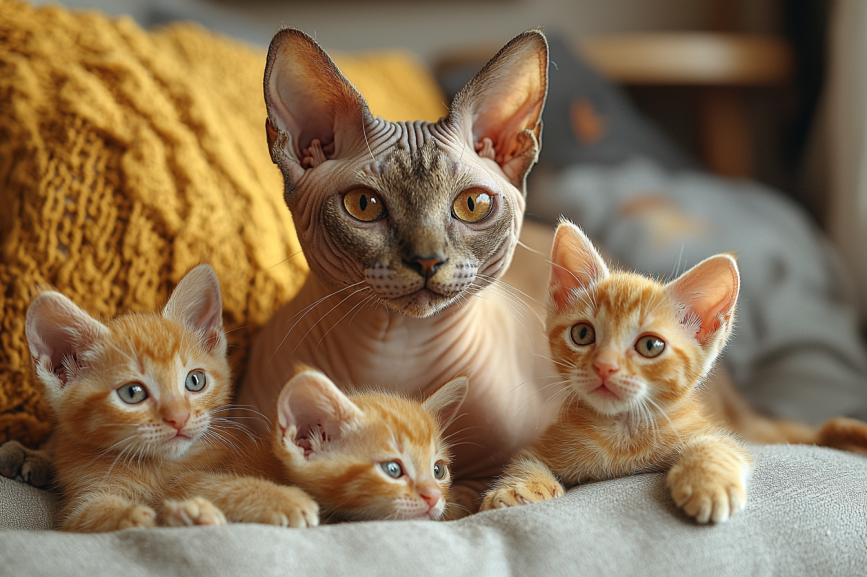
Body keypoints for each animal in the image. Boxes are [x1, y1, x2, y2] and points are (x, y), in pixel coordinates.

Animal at [7, 266, 318, 532]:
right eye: (132, 393)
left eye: (195, 381)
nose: (179, 417)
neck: (156, 466)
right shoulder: (81, 504)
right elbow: (99, 515)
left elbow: (195, 482)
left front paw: (278, 498)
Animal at [482, 222, 752, 520]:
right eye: (582, 334)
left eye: (650, 346)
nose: (604, 365)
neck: (623, 433)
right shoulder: (545, 442)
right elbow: (525, 460)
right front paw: (517, 489)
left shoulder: (712, 431)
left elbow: (719, 445)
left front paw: (709, 482)